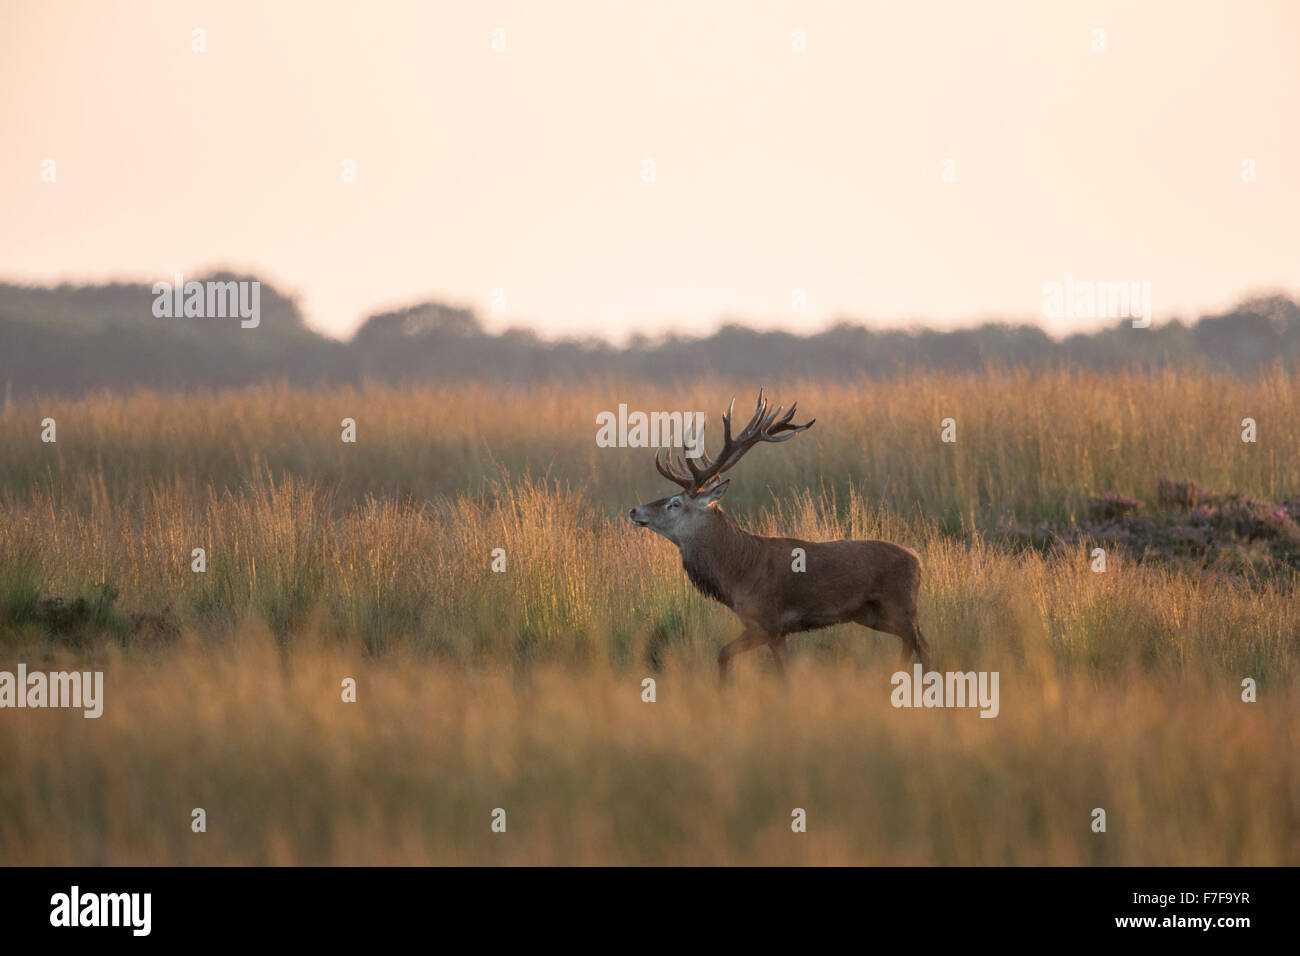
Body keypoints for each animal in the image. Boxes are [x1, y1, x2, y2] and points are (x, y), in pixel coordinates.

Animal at [628, 390, 930, 680]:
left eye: (675, 503)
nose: (634, 510)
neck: (737, 575)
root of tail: (917, 560)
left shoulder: (767, 622)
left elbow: (724, 654)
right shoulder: (779, 631)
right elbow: (781, 670)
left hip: (900, 603)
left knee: (919, 642)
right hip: (871, 613)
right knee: (917, 641)